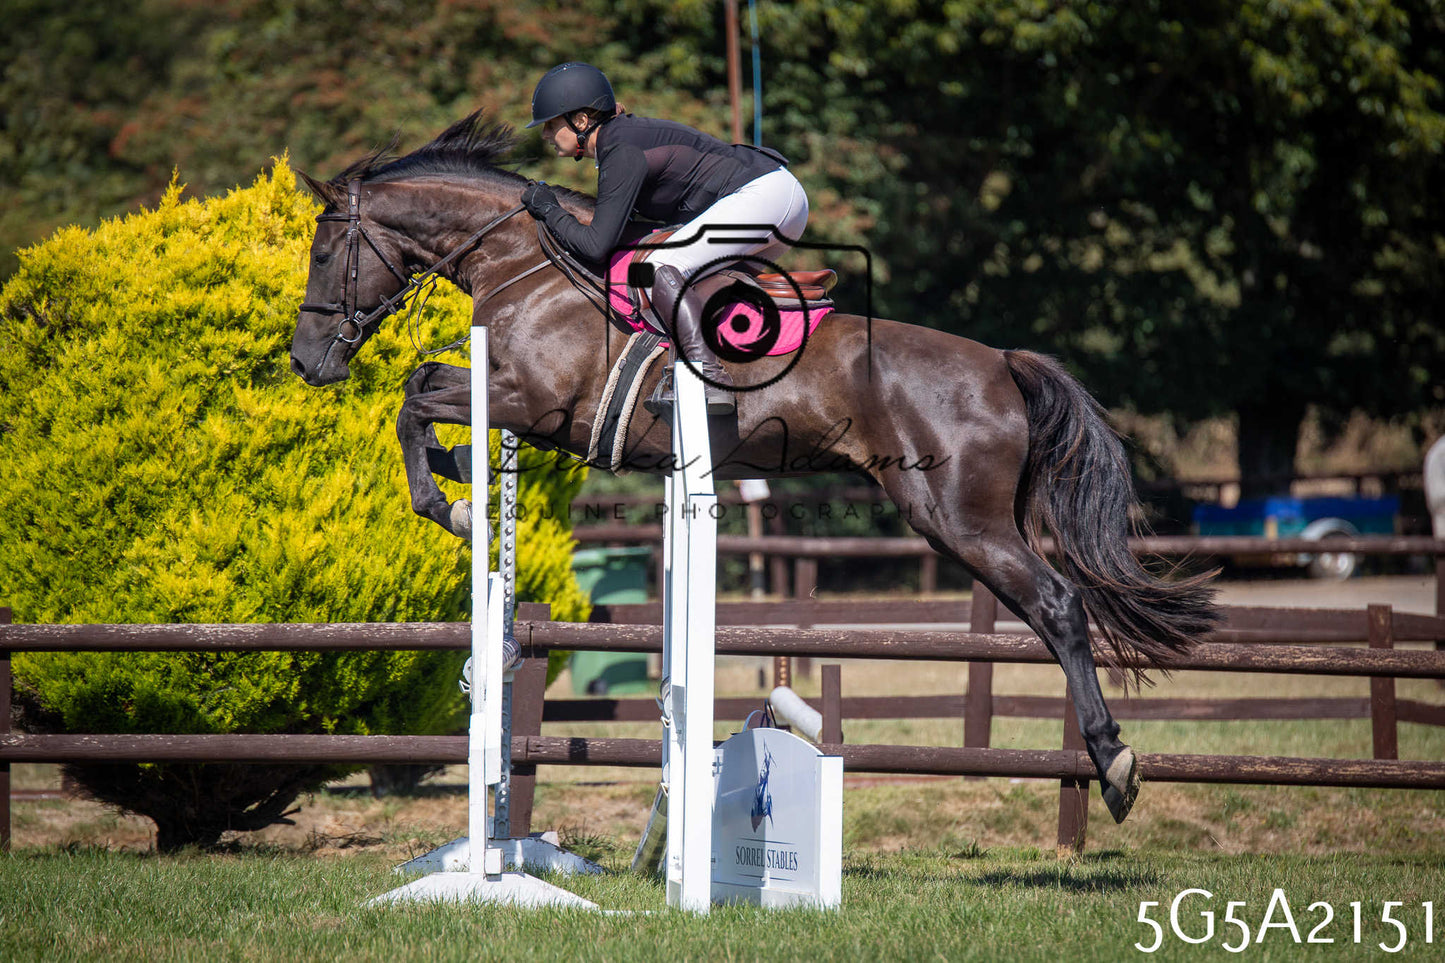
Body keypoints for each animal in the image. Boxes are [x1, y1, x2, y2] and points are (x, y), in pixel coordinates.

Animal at [288, 112, 1220, 825]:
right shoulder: (527, 413)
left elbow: (414, 395)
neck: (523, 264)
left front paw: (443, 503)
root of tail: (999, 362)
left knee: (1056, 605)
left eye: (325, 253)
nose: (306, 361)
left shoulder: (533, 401)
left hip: (957, 516)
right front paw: (455, 478)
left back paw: (1114, 764)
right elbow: (423, 396)